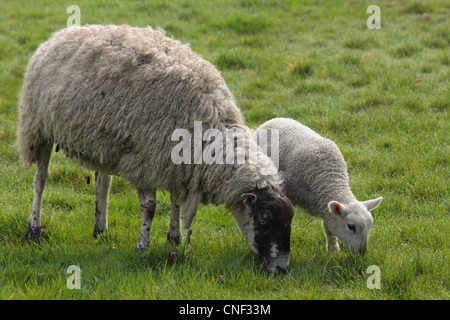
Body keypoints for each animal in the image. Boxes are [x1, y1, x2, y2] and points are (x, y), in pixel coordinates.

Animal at [16, 24, 292, 272]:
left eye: (289, 219)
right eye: (263, 220)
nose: (282, 268)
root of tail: (60, 34)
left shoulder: (176, 163)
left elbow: (176, 200)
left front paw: (174, 238)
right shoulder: (144, 162)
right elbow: (149, 207)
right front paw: (143, 247)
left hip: (103, 141)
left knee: (103, 182)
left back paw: (100, 229)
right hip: (38, 127)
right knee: (40, 180)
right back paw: (34, 230)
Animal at [251, 117, 382, 255]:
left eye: (370, 226)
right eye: (351, 226)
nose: (362, 253)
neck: (329, 180)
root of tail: (273, 119)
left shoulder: (326, 209)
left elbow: (328, 227)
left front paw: (333, 251)